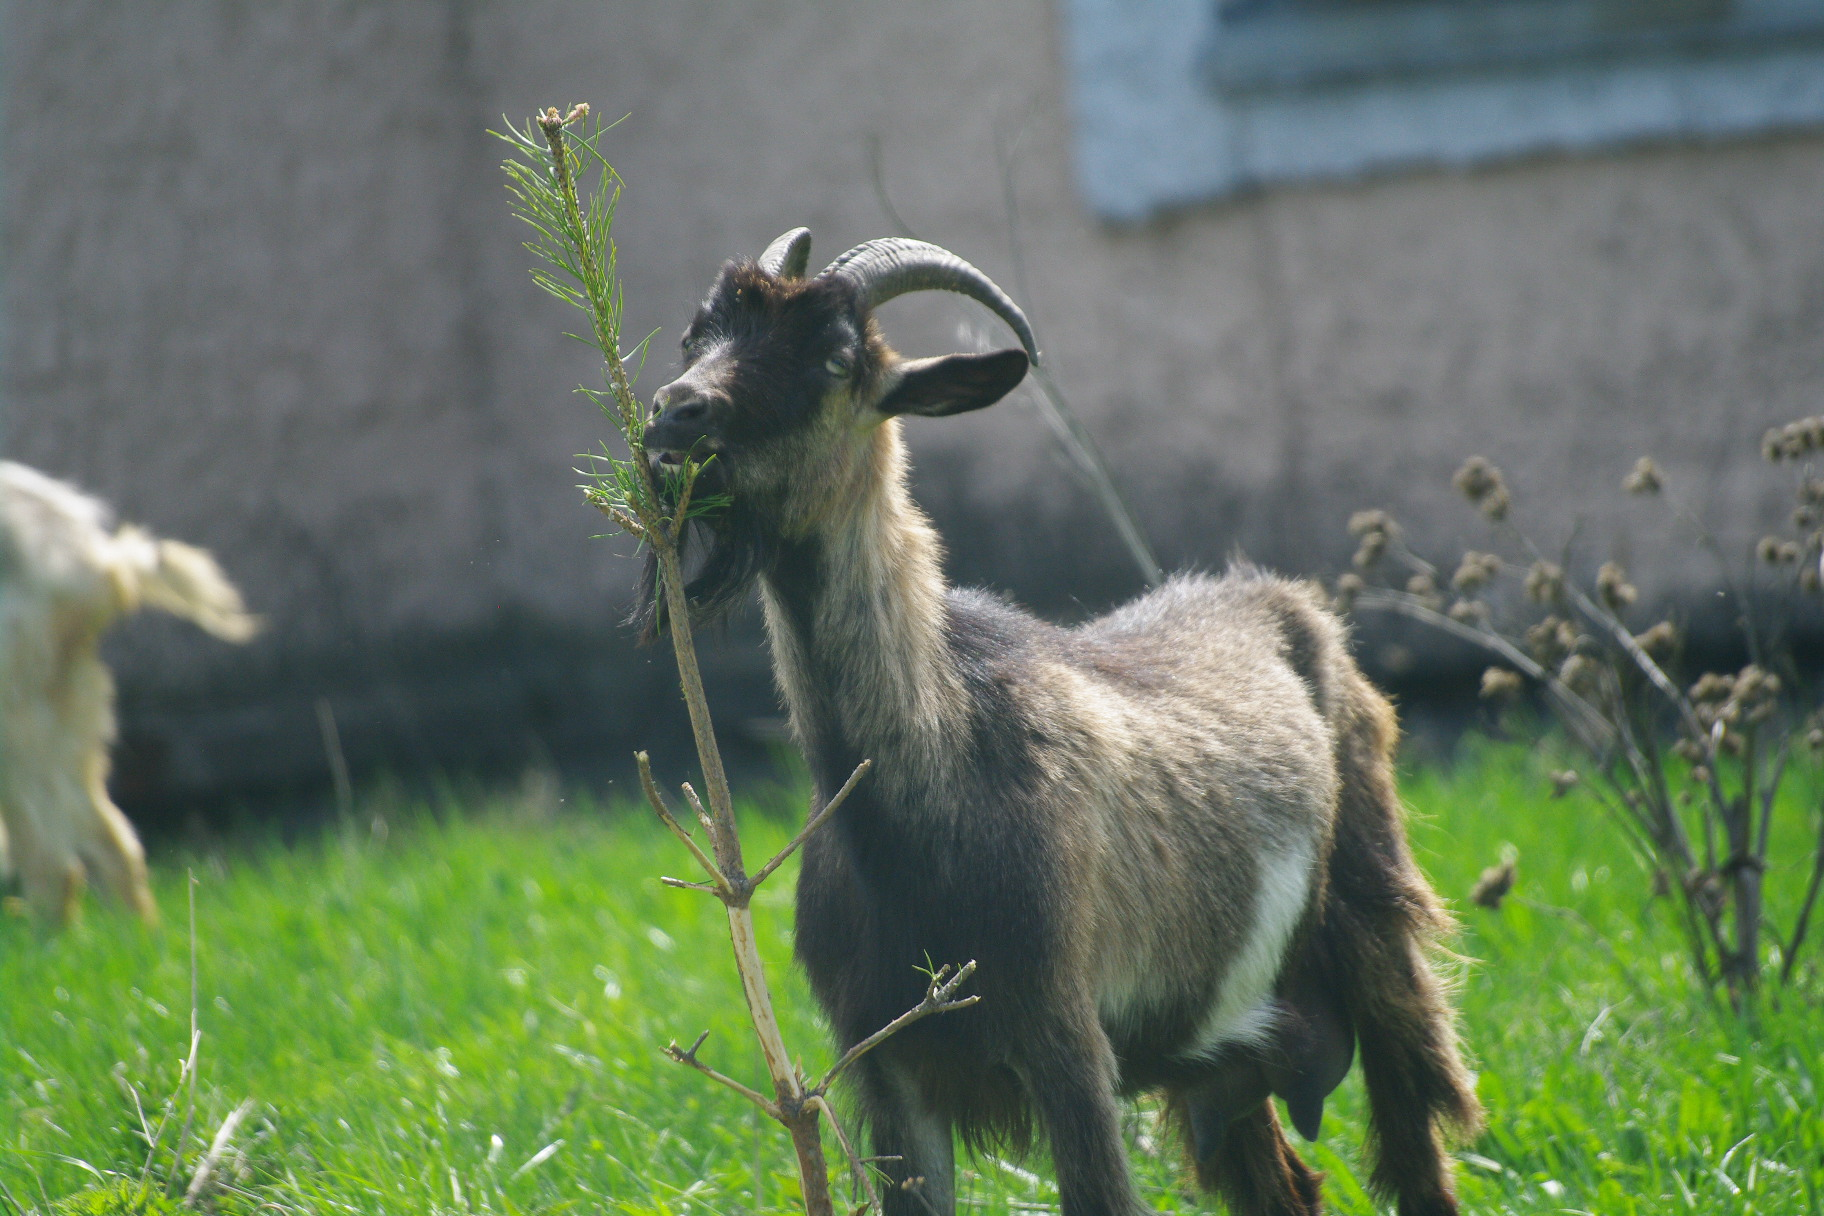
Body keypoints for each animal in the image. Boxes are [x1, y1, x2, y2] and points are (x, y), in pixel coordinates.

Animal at [0, 461, 259, 926]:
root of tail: (98, 568)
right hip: (65, 698)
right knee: (104, 836)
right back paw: (134, 934)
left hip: (17, 694)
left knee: (54, 855)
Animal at [642, 230, 1481, 1216]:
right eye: (696, 335)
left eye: (835, 358)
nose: (675, 415)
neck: (933, 776)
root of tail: (1284, 600)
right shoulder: (888, 1063)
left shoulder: (1065, 1041)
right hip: (1224, 1046)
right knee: (1283, 1182)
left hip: (1373, 918)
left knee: (1415, 1144)